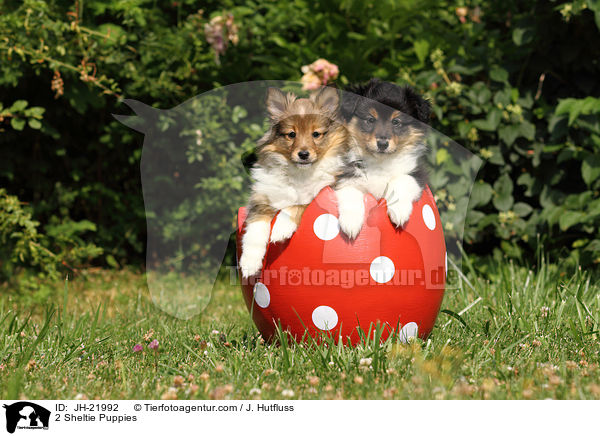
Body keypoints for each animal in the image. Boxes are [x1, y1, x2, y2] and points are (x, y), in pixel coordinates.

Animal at [240, 86, 346, 276]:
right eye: (291, 134)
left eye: (316, 134)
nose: (303, 154)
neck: (300, 173)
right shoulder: (262, 197)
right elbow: (255, 226)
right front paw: (249, 263)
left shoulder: (320, 192)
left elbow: (295, 205)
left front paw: (280, 230)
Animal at [336, 78, 434, 238]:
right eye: (370, 119)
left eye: (396, 122)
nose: (382, 144)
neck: (379, 162)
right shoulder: (343, 176)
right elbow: (350, 191)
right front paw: (351, 223)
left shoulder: (417, 173)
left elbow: (402, 180)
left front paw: (399, 211)